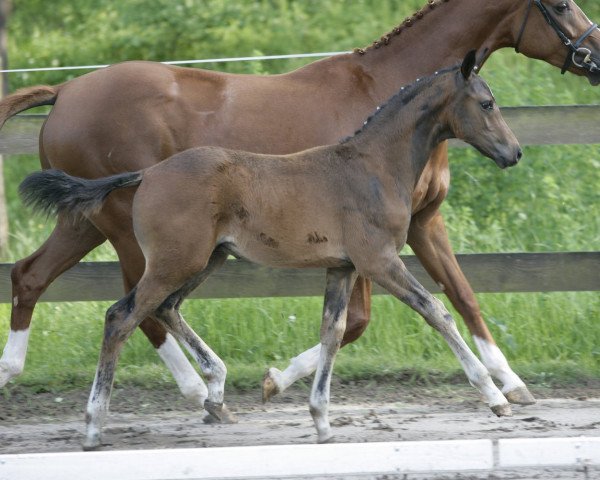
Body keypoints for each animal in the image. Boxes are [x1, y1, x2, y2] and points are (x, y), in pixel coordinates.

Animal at [21, 54, 524, 448]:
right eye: (487, 103)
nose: (514, 153)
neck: (374, 166)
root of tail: (147, 174)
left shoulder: (342, 268)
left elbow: (333, 331)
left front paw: (320, 420)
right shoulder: (378, 261)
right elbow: (436, 311)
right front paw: (495, 398)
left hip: (204, 259)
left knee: (164, 308)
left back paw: (215, 394)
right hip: (174, 262)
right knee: (121, 316)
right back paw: (94, 424)